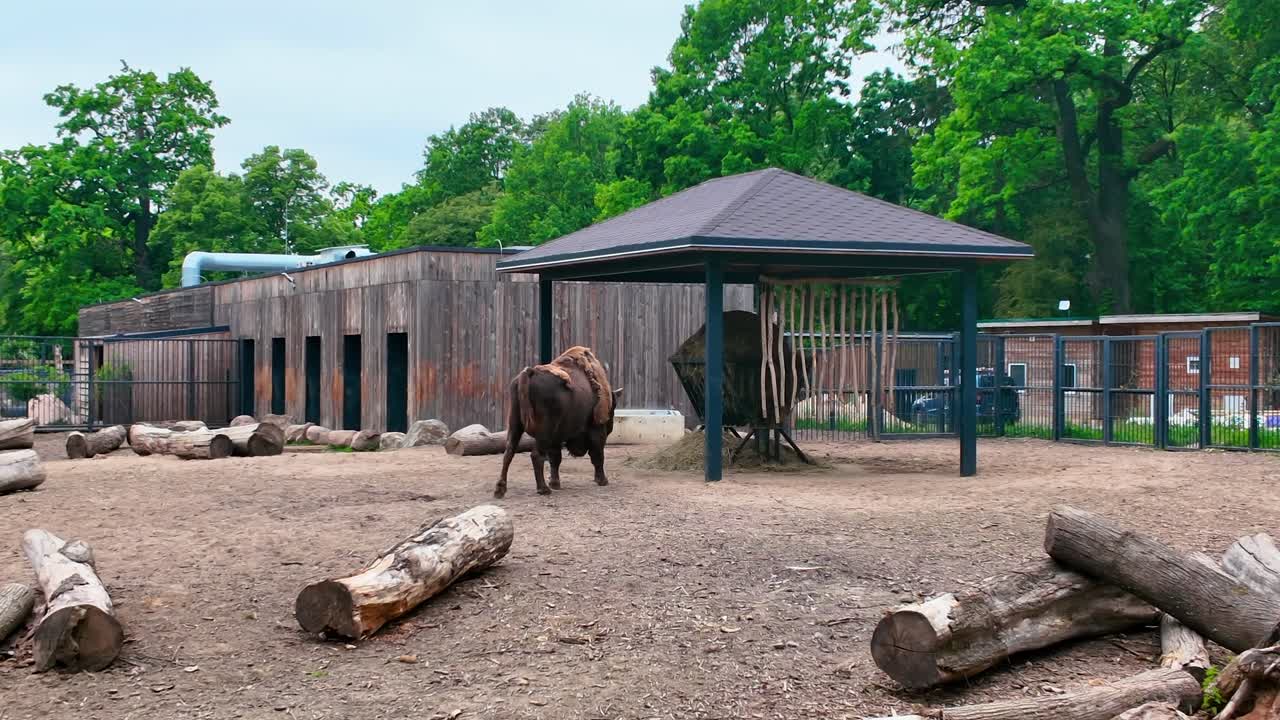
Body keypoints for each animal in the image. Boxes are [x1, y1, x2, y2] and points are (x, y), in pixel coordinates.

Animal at [494, 346, 622, 498]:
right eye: (613, 408)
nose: (610, 427)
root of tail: (530, 373)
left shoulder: (556, 438)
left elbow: (556, 459)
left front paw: (555, 484)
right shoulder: (597, 430)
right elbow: (598, 455)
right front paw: (602, 480)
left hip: (515, 425)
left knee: (508, 452)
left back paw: (500, 489)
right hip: (543, 433)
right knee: (536, 455)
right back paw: (543, 489)